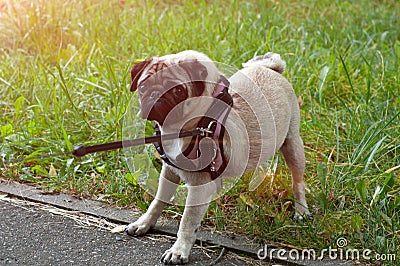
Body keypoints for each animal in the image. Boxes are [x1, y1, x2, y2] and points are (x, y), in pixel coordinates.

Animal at [127, 50, 310, 264]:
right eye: (143, 87)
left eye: (178, 91)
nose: (155, 94)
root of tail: (271, 68)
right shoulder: (169, 172)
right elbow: (157, 201)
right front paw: (144, 223)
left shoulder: (199, 188)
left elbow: (187, 221)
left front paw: (179, 250)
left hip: (293, 146)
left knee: (297, 183)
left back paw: (301, 210)